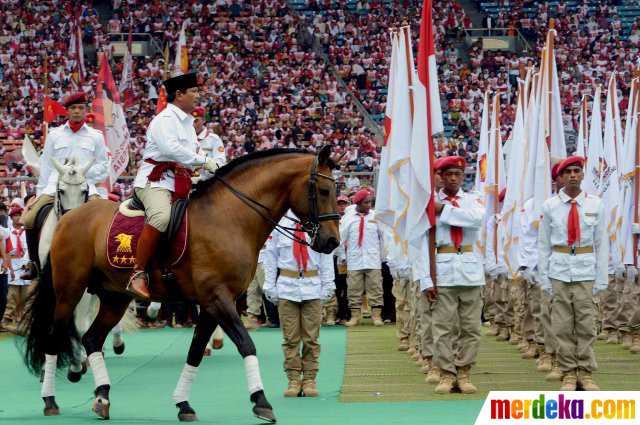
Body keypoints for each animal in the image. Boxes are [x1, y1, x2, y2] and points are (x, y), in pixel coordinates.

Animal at [21, 146, 340, 420]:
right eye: (324, 190)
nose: (332, 241)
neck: (229, 216)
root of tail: (68, 218)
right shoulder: (218, 298)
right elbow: (246, 344)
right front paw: (261, 401)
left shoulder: (212, 304)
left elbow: (195, 352)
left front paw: (183, 404)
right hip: (69, 292)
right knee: (54, 338)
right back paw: (50, 399)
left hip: (114, 297)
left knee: (92, 339)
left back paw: (101, 397)